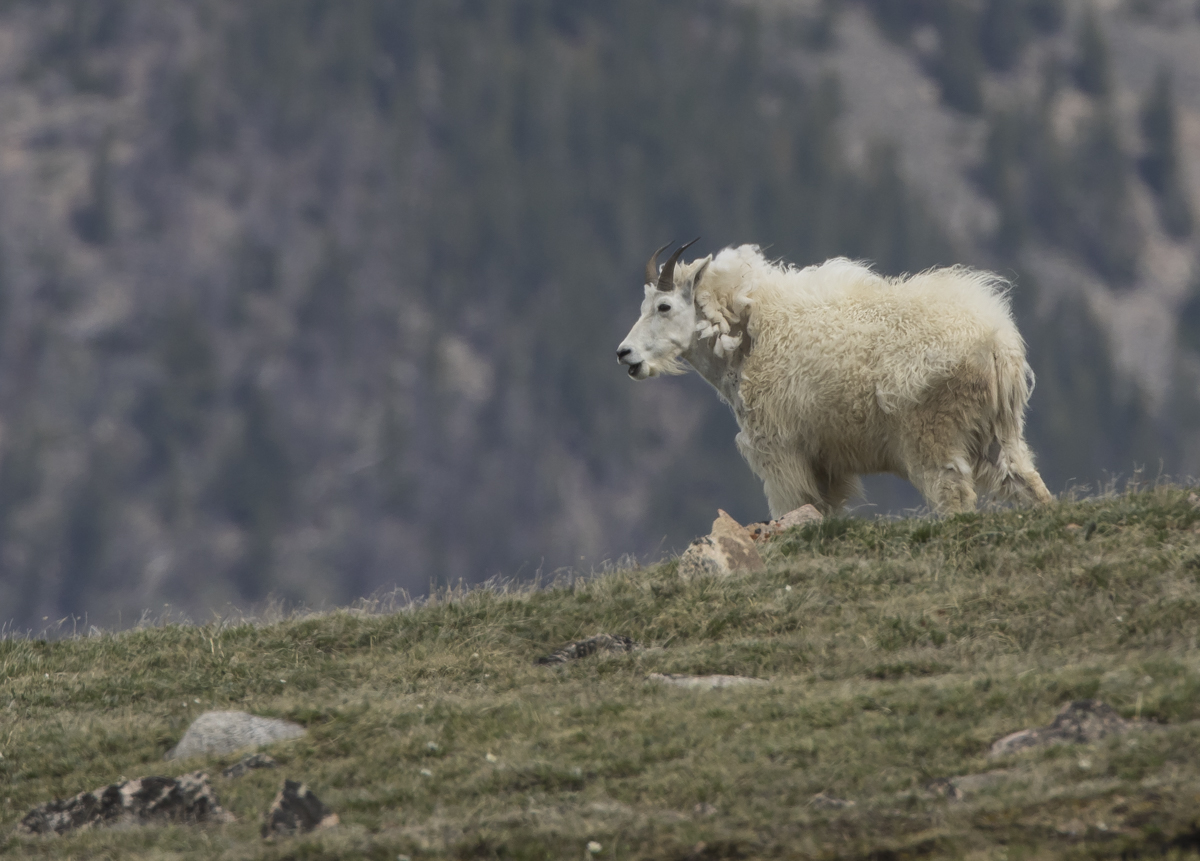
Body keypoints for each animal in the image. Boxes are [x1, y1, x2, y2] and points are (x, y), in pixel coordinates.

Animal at [617, 241, 1052, 516]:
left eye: (663, 306)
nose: (625, 354)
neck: (746, 337)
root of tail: (997, 343)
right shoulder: (824, 465)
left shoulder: (780, 451)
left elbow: (792, 508)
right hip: (998, 434)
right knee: (1026, 481)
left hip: (934, 435)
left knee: (955, 495)